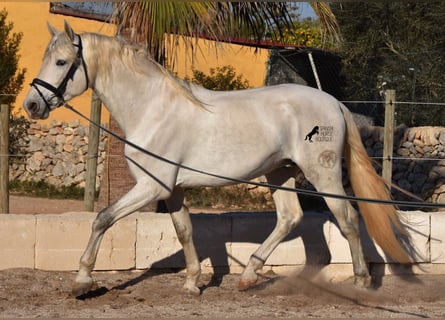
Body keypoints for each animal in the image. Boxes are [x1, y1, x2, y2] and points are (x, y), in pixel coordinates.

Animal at [23, 22, 412, 298]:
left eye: (61, 62)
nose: (32, 105)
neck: (152, 110)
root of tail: (332, 102)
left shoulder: (151, 187)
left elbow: (102, 219)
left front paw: (82, 280)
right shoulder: (172, 190)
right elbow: (183, 231)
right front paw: (193, 282)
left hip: (323, 174)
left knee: (348, 219)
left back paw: (361, 282)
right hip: (279, 172)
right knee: (290, 217)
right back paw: (249, 275)